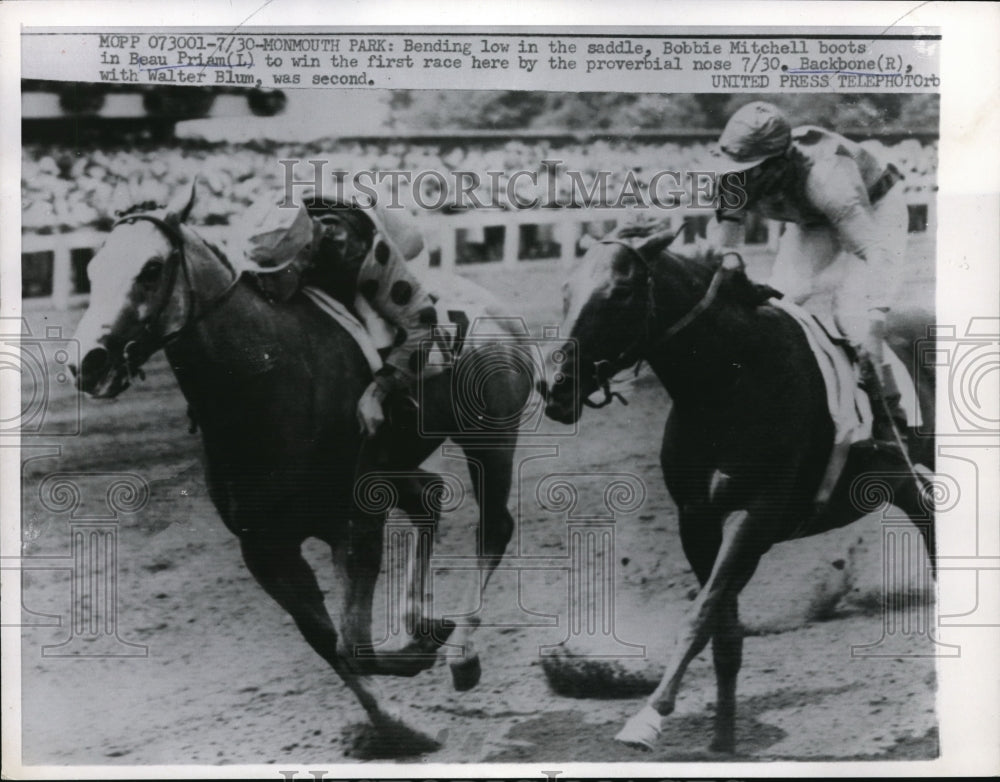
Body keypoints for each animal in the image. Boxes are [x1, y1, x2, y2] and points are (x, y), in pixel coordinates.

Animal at [72, 185, 532, 752]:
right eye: (92, 269)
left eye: (151, 269)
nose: (86, 362)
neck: (264, 379)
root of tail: (494, 306)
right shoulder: (265, 548)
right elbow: (327, 641)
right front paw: (399, 719)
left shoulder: (353, 523)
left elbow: (352, 643)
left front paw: (415, 671)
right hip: (397, 465)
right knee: (429, 497)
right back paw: (417, 622)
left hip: (490, 435)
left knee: (493, 526)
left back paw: (461, 653)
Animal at [544, 224, 932, 756]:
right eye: (565, 291)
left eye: (620, 293)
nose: (554, 387)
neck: (732, 379)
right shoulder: (697, 519)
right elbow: (723, 630)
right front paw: (722, 741)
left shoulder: (756, 515)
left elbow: (700, 614)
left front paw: (647, 717)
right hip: (904, 484)